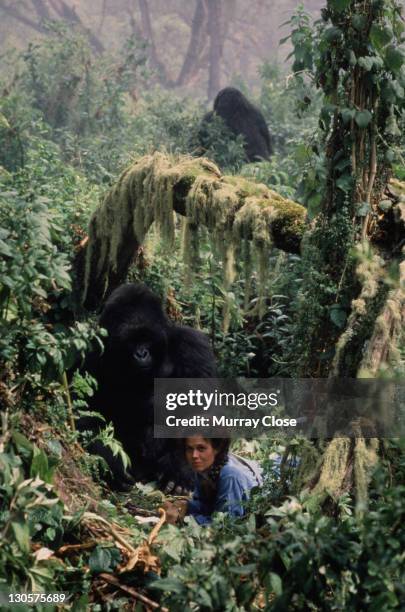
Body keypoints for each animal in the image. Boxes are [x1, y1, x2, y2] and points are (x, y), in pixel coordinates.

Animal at [79, 284, 218, 492]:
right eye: (131, 341)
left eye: (147, 339)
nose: (141, 353)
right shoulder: (91, 350)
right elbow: (85, 412)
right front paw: (111, 460)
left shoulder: (193, 346)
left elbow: (203, 410)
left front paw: (180, 468)